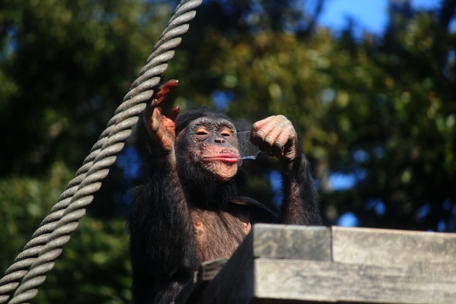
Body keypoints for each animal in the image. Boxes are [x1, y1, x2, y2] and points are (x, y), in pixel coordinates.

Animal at [126, 80, 322, 304]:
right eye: (202, 133)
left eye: (226, 134)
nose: (220, 140)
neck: (206, 197)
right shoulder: (144, 198)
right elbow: (172, 261)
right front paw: (162, 134)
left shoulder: (253, 205)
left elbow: (299, 243)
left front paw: (284, 137)